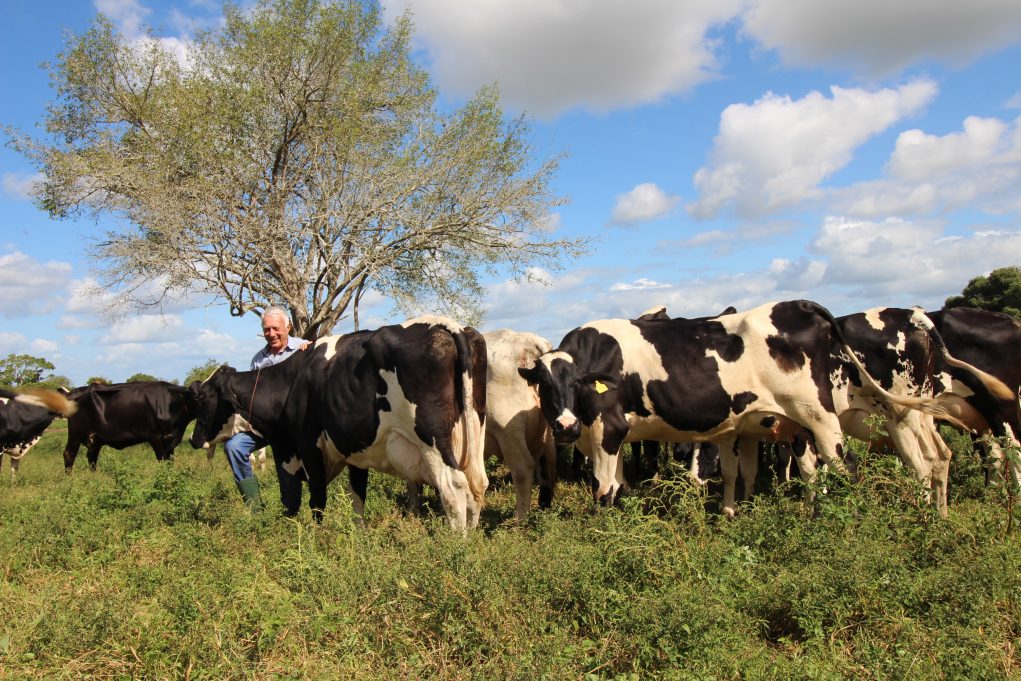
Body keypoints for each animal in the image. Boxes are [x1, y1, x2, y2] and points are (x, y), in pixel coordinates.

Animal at [64, 381, 201, 471]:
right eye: (196, 397)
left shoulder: (170, 440)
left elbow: (169, 463)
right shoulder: (155, 438)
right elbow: (162, 461)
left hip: (95, 438)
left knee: (92, 458)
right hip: (75, 433)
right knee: (69, 454)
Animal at [189, 316, 488, 530]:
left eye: (202, 397)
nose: (192, 439)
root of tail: (444, 324)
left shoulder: (308, 445)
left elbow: (317, 499)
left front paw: (317, 538)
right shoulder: (355, 450)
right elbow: (357, 497)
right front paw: (358, 537)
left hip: (432, 440)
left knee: (454, 487)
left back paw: (455, 545)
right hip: (475, 434)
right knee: (477, 487)